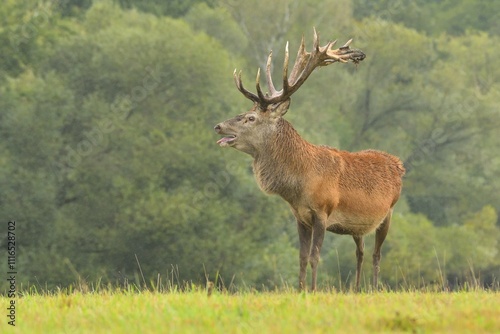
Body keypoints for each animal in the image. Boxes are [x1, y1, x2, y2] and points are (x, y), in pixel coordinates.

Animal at [215, 28, 406, 290]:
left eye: (251, 118)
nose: (219, 126)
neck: (299, 184)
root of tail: (398, 164)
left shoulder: (322, 211)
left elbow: (315, 257)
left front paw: (313, 290)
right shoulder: (300, 216)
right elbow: (302, 257)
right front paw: (301, 289)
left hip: (388, 213)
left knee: (377, 254)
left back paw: (374, 288)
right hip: (358, 226)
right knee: (361, 252)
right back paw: (357, 289)